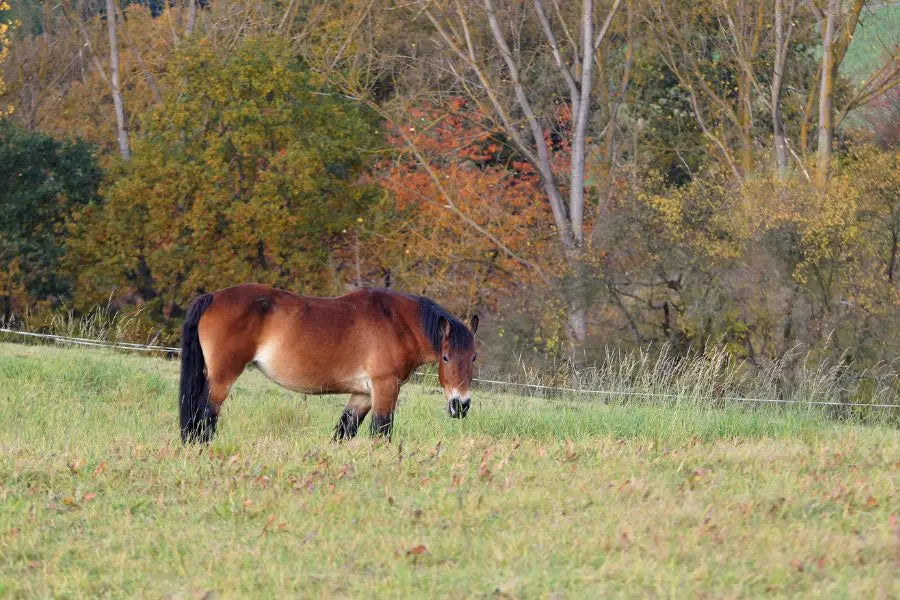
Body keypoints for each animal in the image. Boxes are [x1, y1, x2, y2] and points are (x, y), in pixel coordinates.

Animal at [178, 283, 479, 443]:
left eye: (474, 357)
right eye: (445, 357)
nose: (461, 406)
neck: (397, 322)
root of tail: (213, 297)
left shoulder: (362, 394)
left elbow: (345, 431)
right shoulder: (385, 387)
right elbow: (382, 431)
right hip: (222, 378)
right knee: (204, 416)